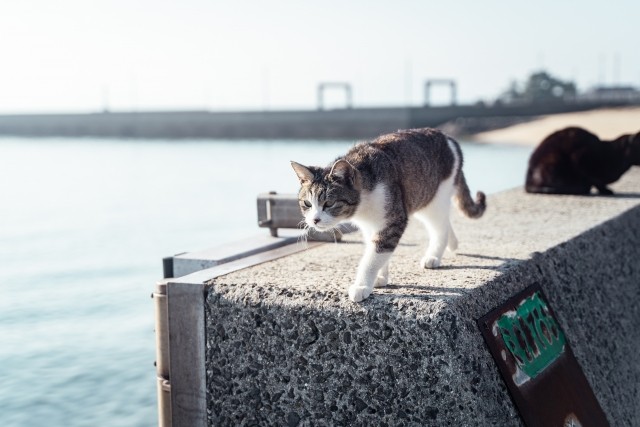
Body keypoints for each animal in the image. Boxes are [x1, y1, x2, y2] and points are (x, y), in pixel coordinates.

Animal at [292, 129, 488, 302]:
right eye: (307, 204)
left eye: (329, 203)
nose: (314, 220)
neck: (364, 202)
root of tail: (449, 138)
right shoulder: (370, 226)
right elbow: (377, 251)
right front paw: (380, 277)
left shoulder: (393, 220)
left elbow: (373, 255)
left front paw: (362, 286)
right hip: (421, 197)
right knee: (444, 222)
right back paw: (452, 244)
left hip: (435, 197)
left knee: (440, 227)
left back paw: (433, 256)